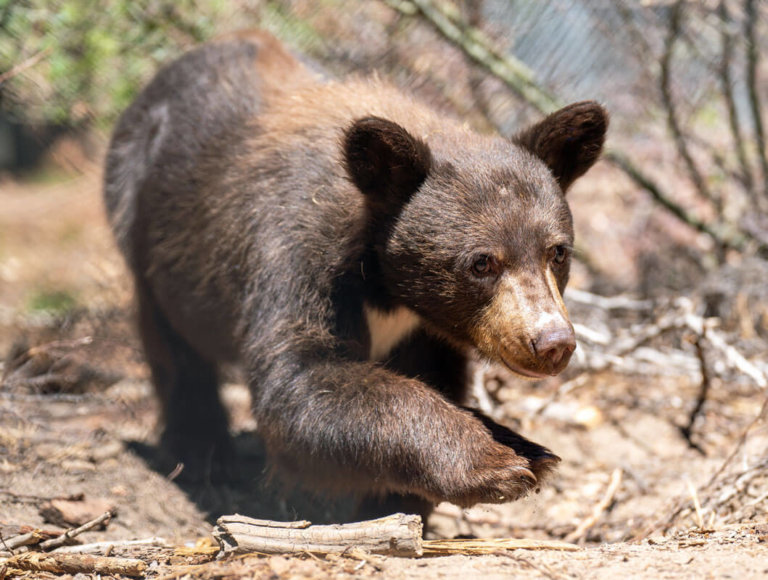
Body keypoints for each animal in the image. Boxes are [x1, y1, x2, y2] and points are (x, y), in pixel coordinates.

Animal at [103, 28, 608, 516]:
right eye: (481, 261)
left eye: (557, 252)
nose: (552, 342)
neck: (387, 285)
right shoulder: (298, 254)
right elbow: (303, 386)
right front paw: (495, 463)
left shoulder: (426, 331)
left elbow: (434, 376)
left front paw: (519, 450)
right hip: (149, 222)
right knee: (174, 342)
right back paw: (202, 453)